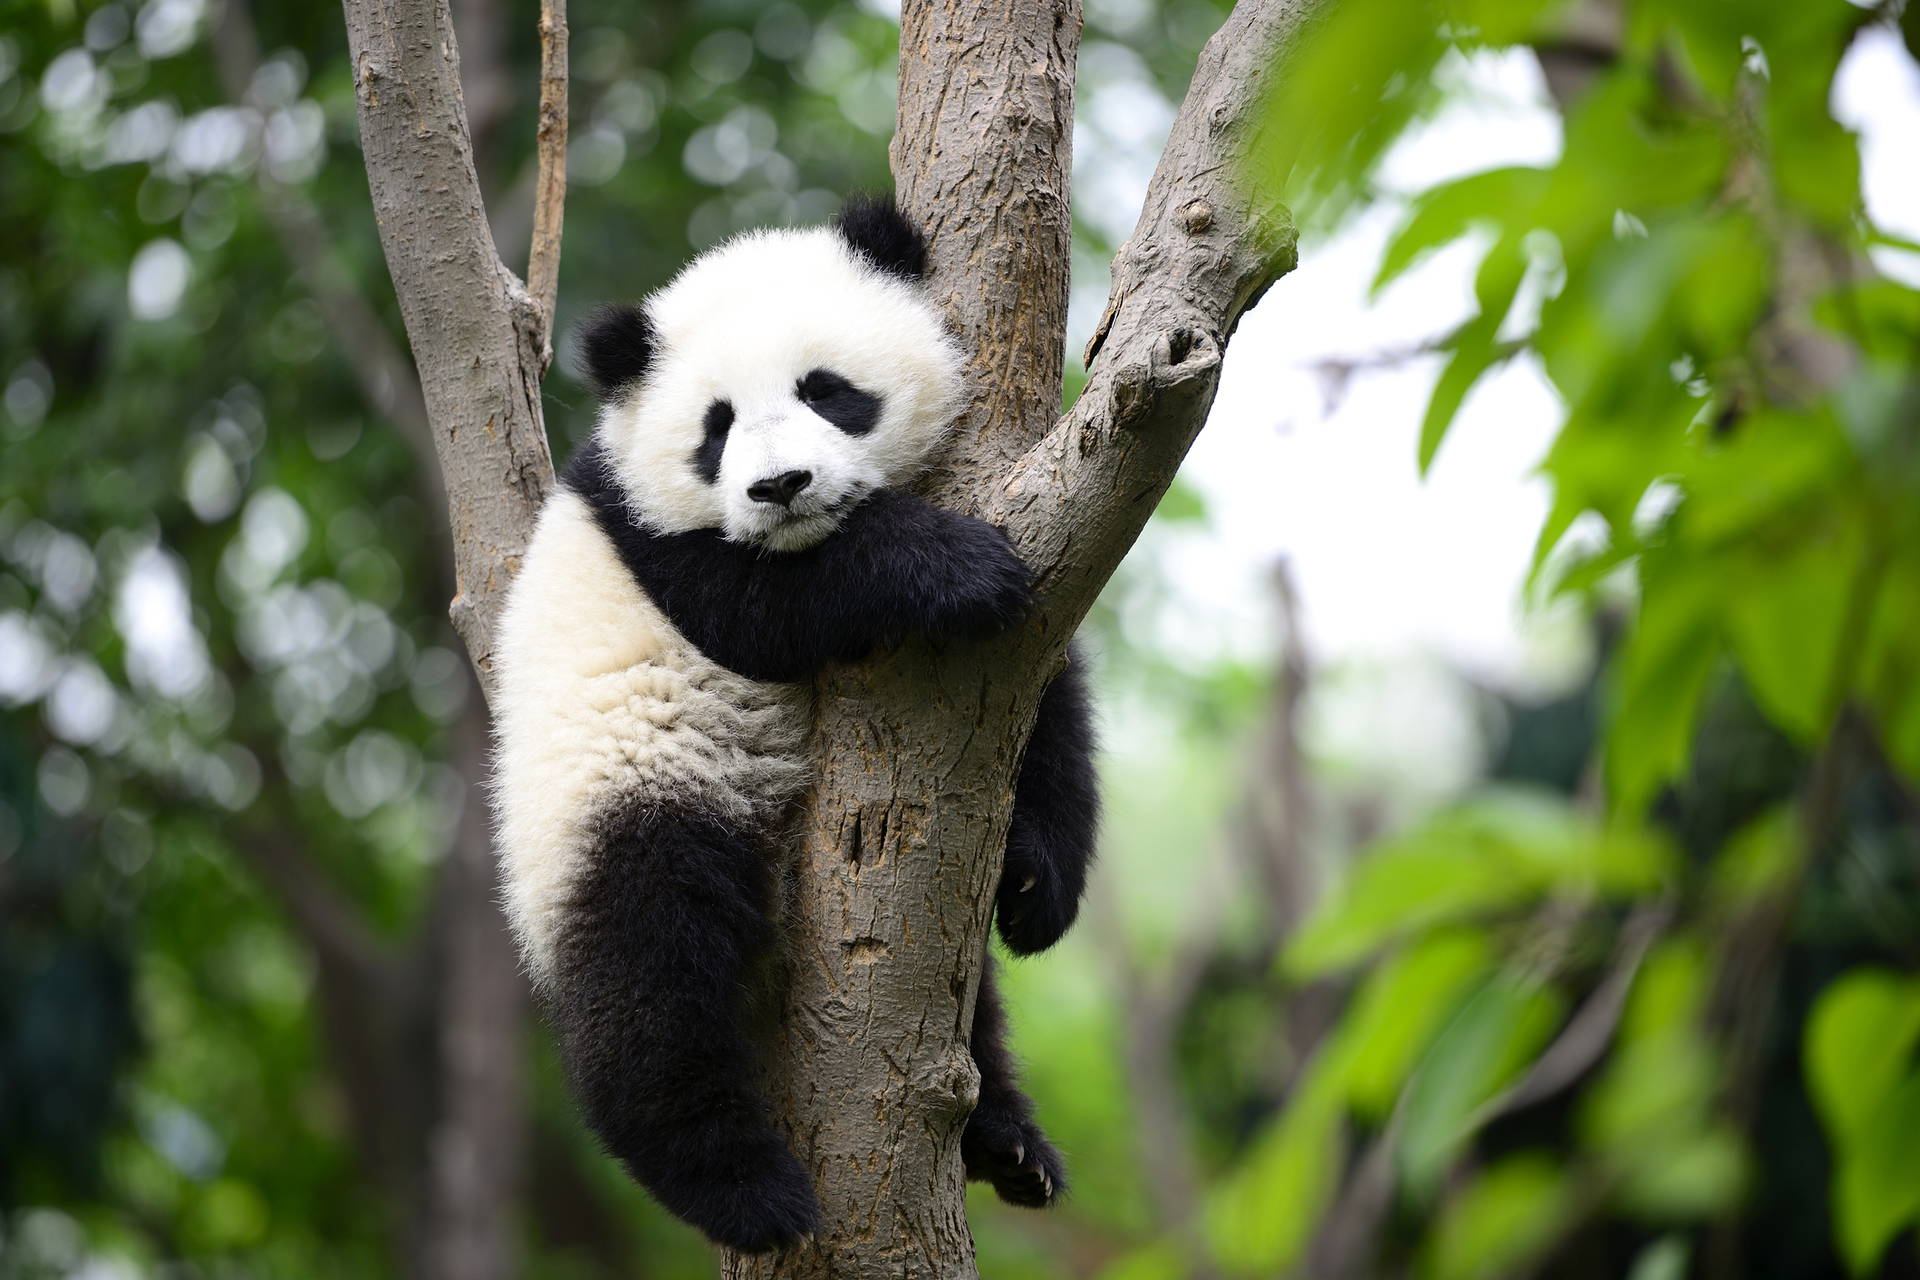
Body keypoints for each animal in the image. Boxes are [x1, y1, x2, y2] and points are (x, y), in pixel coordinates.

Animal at [490, 194, 1099, 1254]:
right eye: (716, 427)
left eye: (828, 392)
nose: (780, 487)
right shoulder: (656, 543)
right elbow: (770, 606)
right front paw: (951, 567)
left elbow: (1045, 704)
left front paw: (1034, 884)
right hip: (620, 792)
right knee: (648, 968)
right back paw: (740, 1186)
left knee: (963, 1004)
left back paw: (1006, 1143)